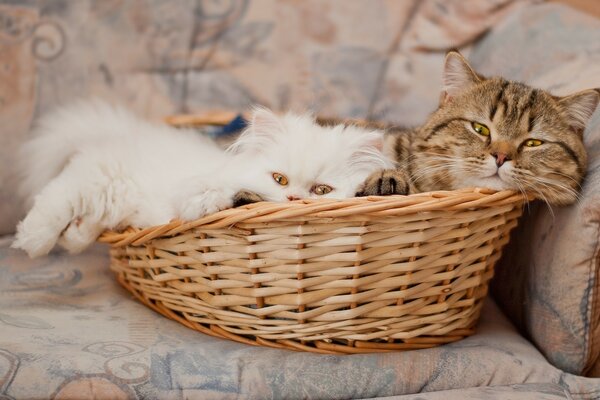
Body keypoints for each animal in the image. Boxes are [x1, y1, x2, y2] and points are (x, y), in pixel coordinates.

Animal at [12, 100, 394, 256]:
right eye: (280, 180)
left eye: (321, 189)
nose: (294, 199)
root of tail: (124, 131)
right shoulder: (194, 184)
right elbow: (201, 195)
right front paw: (210, 201)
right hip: (102, 177)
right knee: (55, 200)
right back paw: (34, 242)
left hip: (112, 197)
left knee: (88, 223)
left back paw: (74, 236)